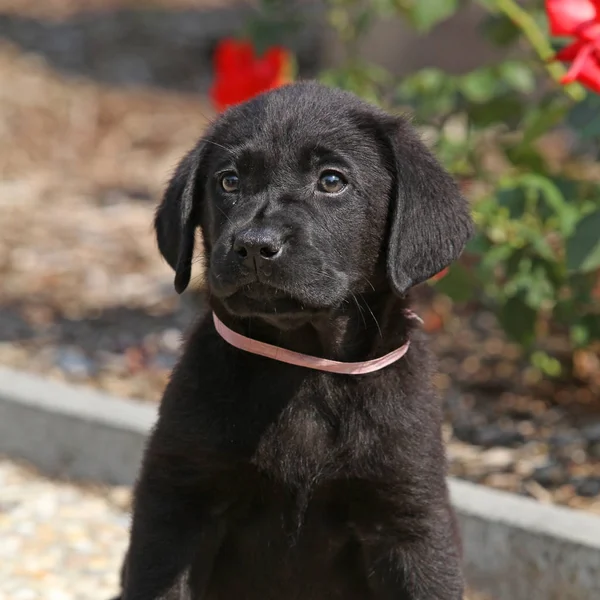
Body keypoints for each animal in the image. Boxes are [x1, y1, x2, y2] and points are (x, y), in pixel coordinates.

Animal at [116, 81, 474, 600]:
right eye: (228, 181)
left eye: (331, 181)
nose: (253, 245)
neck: (304, 364)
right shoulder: (177, 503)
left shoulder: (410, 521)